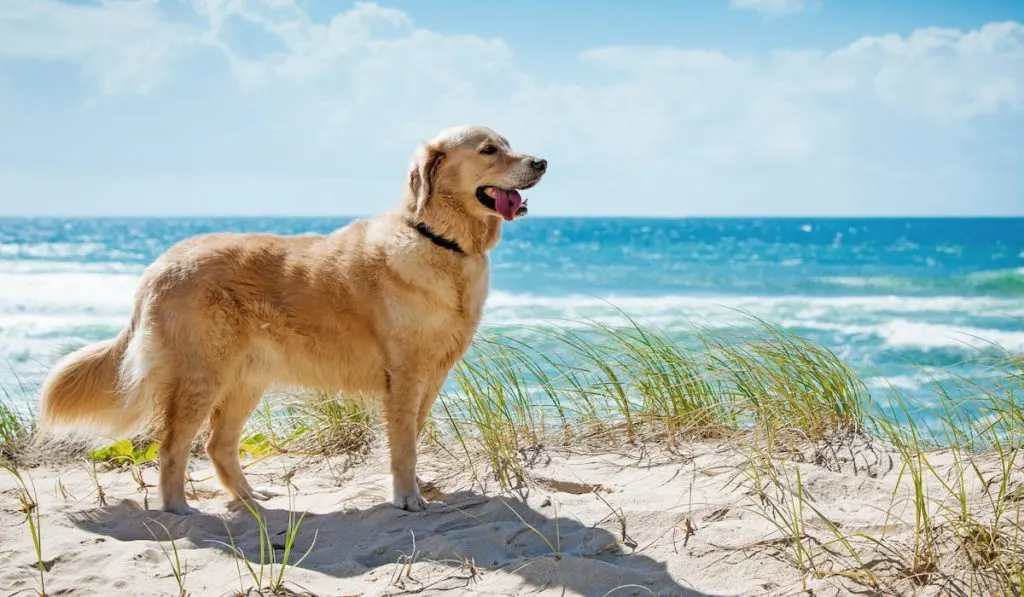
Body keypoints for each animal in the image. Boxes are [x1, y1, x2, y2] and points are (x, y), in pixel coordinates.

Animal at [37, 124, 548, 514]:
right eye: (489, 150)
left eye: (509, 143)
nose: (542, 162)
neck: (440, 240)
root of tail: (160, 263)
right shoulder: (404, 376)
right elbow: (403, 444)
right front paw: (406, 497)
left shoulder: (431, 375)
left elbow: (413, 437)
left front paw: (417, 487)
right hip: (202, 375)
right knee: (172, 446)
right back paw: (178, 508)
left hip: (246, 379)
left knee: (217, 445)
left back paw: (250, 499)